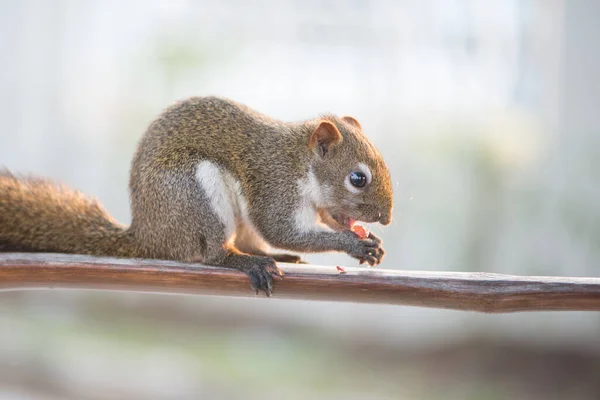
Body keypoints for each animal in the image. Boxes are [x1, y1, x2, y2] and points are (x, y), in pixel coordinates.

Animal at [0, 96, 394, 296]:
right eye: (357, 178)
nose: (387, 218)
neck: (300, 161)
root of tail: (149, 236)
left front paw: (370, 241)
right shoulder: (274, 184)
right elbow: (281, 229)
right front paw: (355, 244)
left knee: (249, 241)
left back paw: (274, 257)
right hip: (194, 191)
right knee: (213, 254)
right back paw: (245, 262)